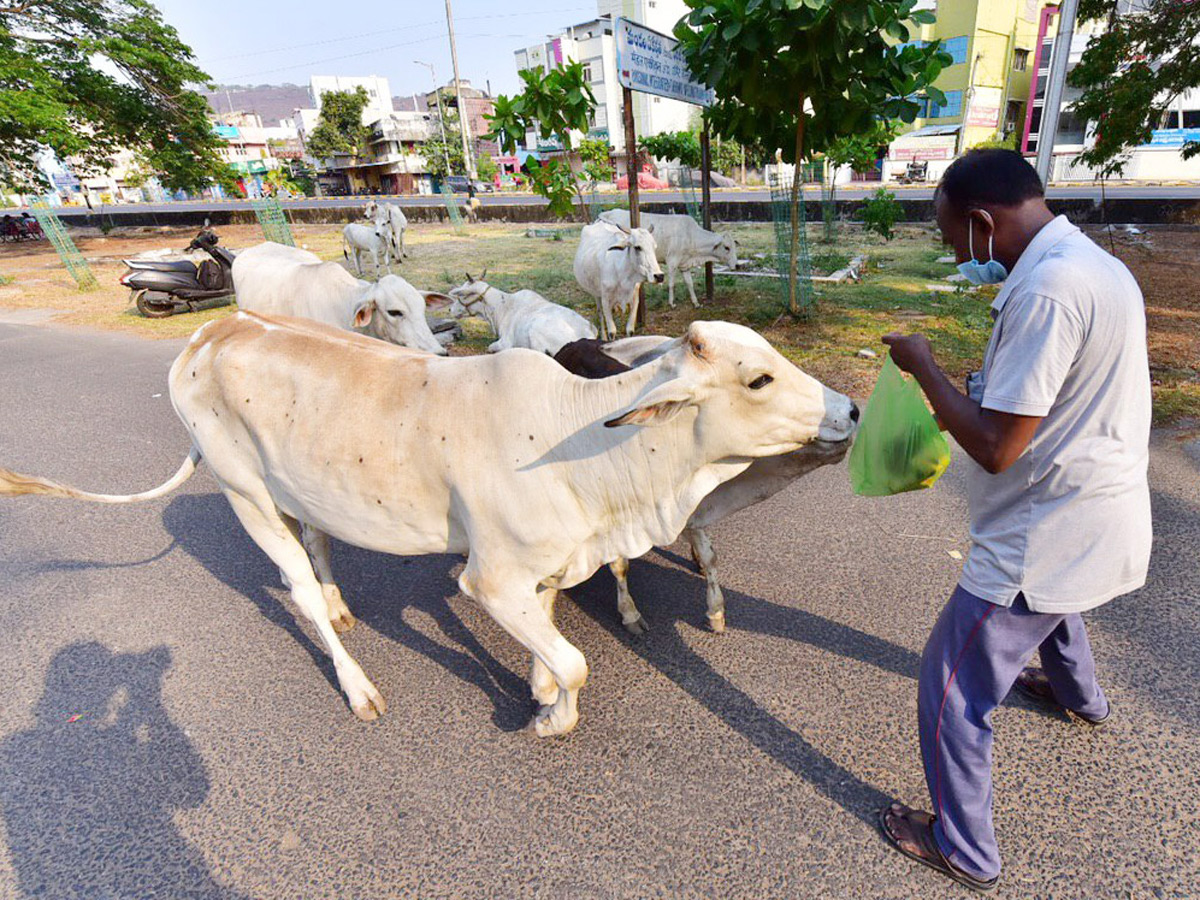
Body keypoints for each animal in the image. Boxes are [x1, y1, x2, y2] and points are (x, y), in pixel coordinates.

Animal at [448, 271, 597, 355]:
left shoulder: (505, 343)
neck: (502, 307)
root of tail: (588, 332)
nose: (450, 310)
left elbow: (491, 347)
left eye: (462, 295)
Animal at [552, 336, 854, 638]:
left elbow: (710, 557)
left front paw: (716, 611)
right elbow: (620, 566)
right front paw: (629, 614)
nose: (852, 411)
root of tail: (576, 342)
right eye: (759, 381)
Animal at [600, 208, 739, 309]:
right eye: (727, 247)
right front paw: (671, 303)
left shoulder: (684, 265)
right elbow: (672, 284)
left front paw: (696, 303)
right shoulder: (672, 262)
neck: (691, 237)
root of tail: (608, 212)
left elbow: (690, 283)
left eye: (734, 246)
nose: (737, 265)